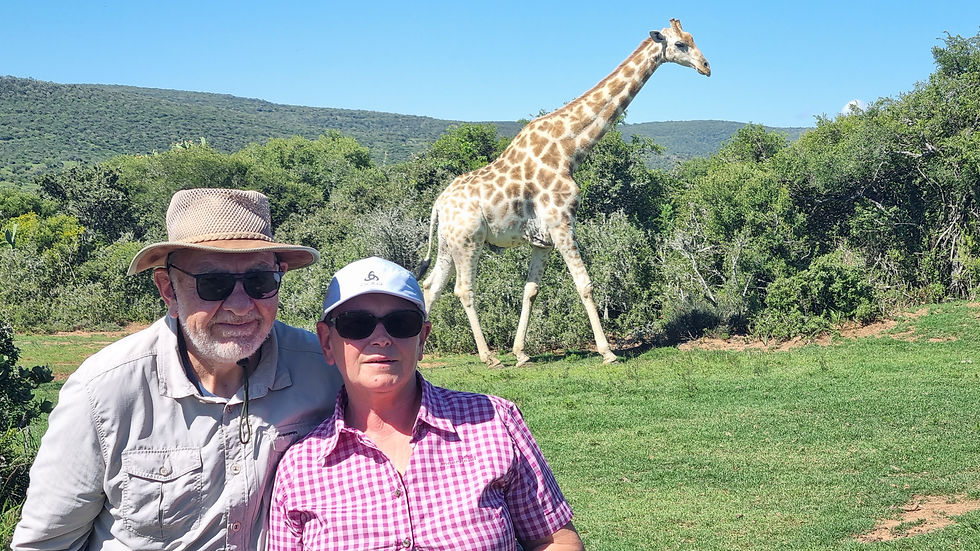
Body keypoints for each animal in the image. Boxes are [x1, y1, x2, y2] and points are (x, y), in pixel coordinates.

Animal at [416, 18, 710, 367]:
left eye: (692, 38)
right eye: (680, 44)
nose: (706, 67)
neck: (570, 148)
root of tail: (438, 204)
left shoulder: (542, 238)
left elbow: (530, 290)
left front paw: (521, 353)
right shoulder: (562, 222)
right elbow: (585, 284)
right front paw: (607, 351)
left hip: (448, 243)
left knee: (431, 285)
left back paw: (418, 354)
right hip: (468, 240)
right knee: (463, 289)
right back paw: (489, 357)